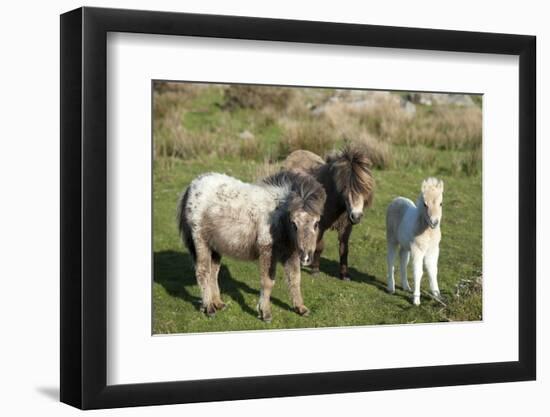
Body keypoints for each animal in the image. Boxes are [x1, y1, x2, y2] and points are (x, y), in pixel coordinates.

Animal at [284, 144, 376, 280]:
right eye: (345, 188)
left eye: (364, 188)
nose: (356, 216)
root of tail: (296, 152)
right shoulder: (320, 225)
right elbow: (319, 246)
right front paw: (315, 270)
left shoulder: (346, 226)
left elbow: (344, 249)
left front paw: (344, 274)